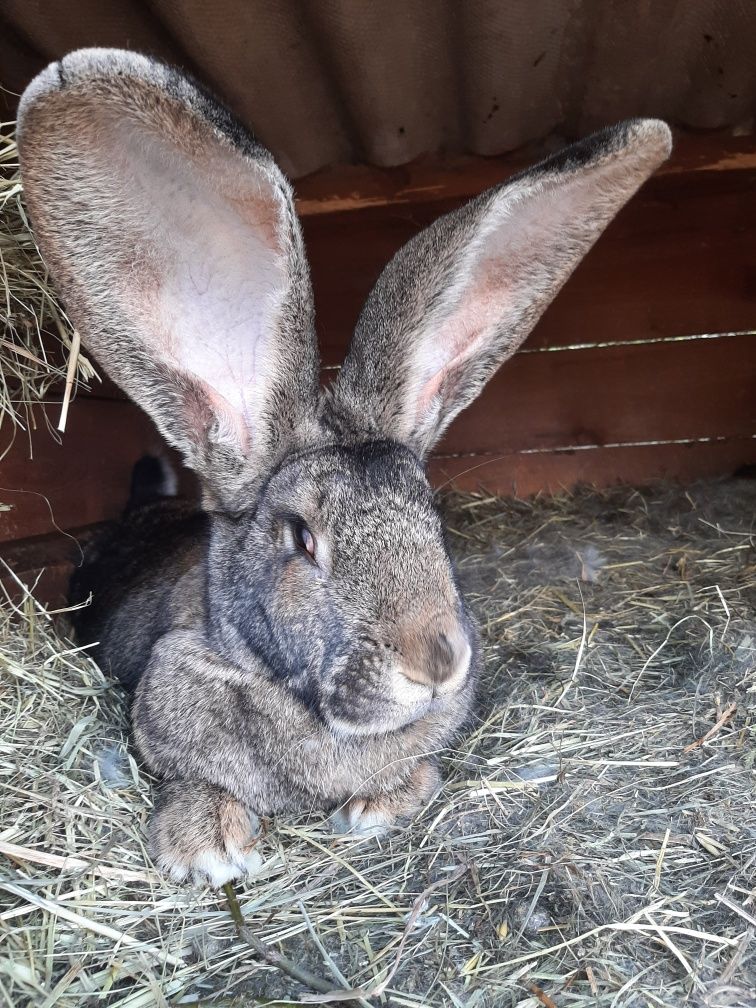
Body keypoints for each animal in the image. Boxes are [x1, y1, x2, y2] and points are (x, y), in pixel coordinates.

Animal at [16, 49, 669, 883]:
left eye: (433, 523)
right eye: (301, 539)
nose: (437, 662)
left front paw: (377, 806)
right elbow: (191, 778)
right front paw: (207, 848)